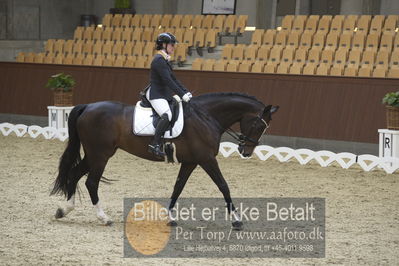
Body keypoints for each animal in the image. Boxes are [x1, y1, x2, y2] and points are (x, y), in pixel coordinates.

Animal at [51, 92, 280, 229]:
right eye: (259, 126)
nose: (246, 151)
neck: (205, 117)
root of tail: (88, 106)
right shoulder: (206, 159)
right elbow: (223, 186)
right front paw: (237, 220)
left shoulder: (191, 161)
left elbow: (178, 187)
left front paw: (170, 218)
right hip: (100, 154)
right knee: (91, 182)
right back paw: (104, 218)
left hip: (94, 154)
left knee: (74, 174)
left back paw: (64, 210)